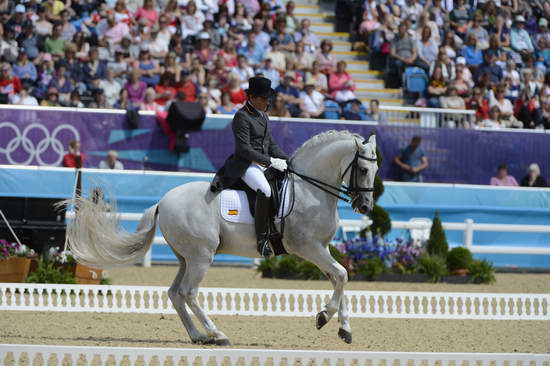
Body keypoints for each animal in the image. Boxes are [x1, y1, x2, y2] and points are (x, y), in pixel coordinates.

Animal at [67, 131, 380, 346]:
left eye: (376, 171)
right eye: (363, 169)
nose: (365, 207)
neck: (309, 190)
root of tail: (162, 201)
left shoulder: (322, 248)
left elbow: (340, 277)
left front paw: (344, 328)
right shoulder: (308, 247)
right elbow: (341, 275)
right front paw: (324, 317)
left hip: (186, 257)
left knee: (175, 293)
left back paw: (198, 335)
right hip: (201, 256)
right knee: (189, 293)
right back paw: (217, 334)